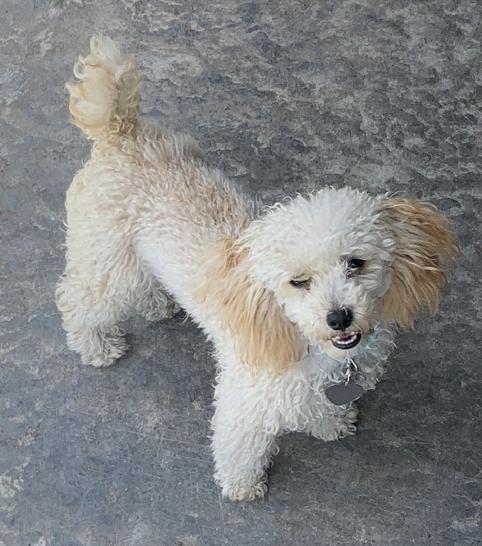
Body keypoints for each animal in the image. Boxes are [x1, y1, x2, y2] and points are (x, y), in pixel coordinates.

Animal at [56, 36, 460, 500]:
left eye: (355, 263)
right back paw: (96, 345)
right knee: (78, 299)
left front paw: (331, 423)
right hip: (110, 261)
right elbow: (240, 445)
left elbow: (317, 409)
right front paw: (242, 485)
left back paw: (158, 304)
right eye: (297, 282)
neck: (308, 342)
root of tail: (119, 132)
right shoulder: (247, 398)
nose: (338, 317)